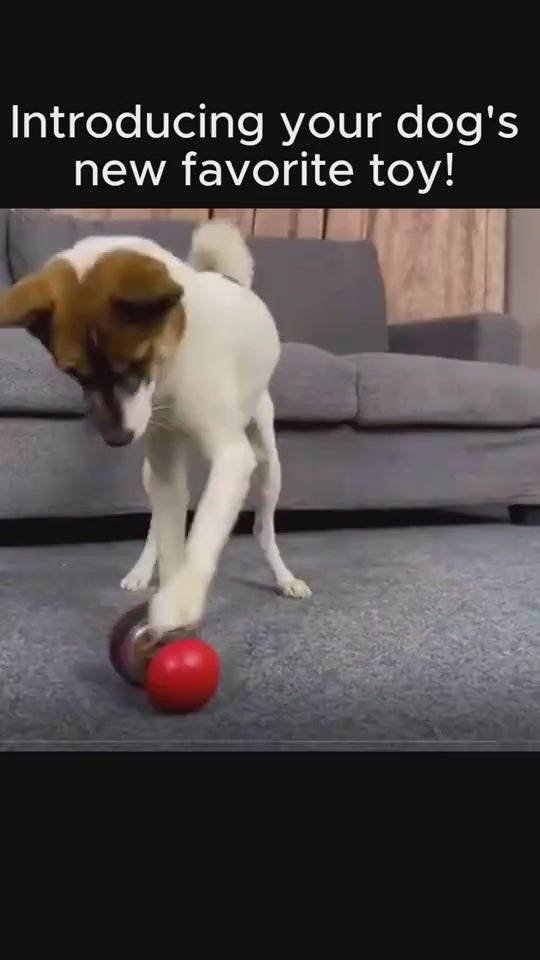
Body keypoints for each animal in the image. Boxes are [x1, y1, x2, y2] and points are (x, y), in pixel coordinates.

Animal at [0, 218, 312, 636]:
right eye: (75, 374)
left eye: (136, 362)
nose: (117, 439)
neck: (175, 358)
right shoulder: (163, 460)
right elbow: (168, 537)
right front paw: (167, 591)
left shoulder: (233, 458)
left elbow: (204, 531)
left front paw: (180, 600)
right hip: (154, 472)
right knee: (157, 523)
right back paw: (142, 570)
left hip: (267, 461)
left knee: (264, 528)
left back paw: (283, 577)